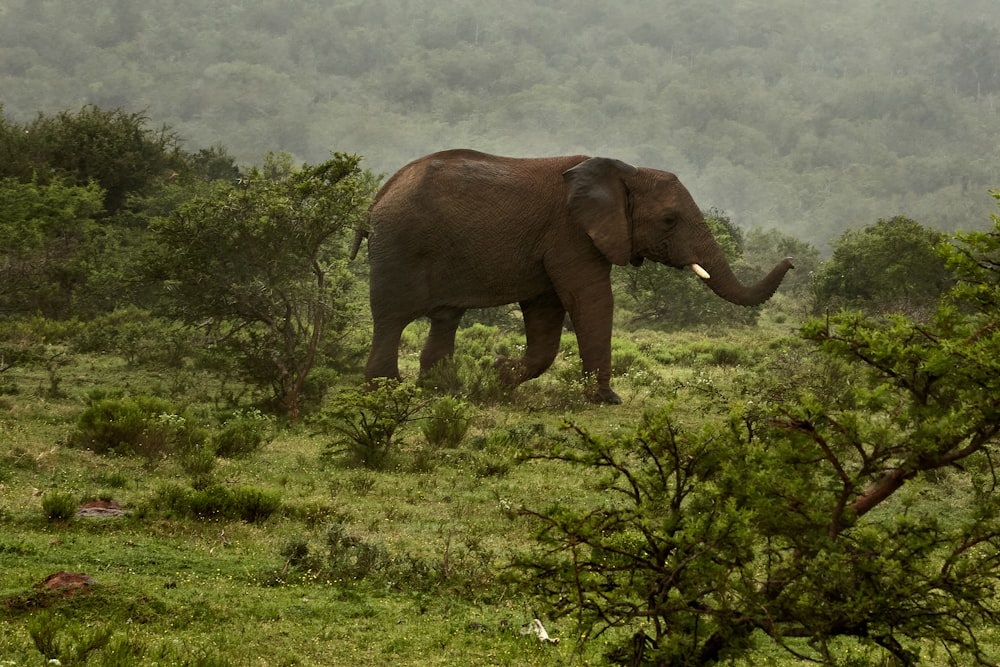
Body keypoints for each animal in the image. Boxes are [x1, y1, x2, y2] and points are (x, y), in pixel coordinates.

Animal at [354, 150, 796, 402]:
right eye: (670, 220)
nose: (792, 261)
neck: (625, 172)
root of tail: (378, 196)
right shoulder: (571, 232)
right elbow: (589, 298)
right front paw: (607, 399)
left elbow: (546, 310)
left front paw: (499, 374)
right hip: (400, 244)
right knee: (392, 317)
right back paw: (386, 392)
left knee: (445, 318)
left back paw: (442, 390)